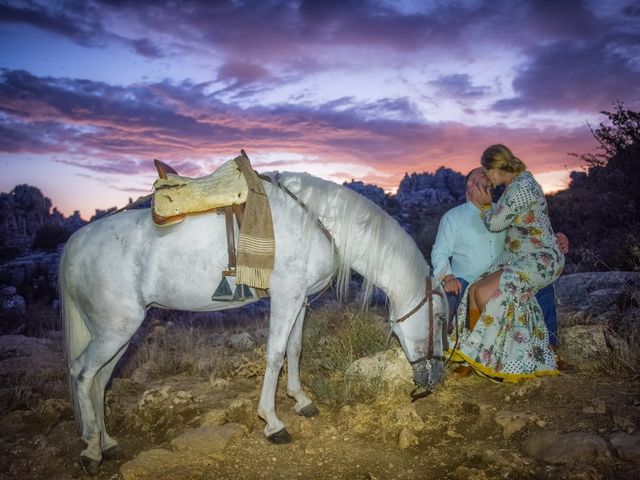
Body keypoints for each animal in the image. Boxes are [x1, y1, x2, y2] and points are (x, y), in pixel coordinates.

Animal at [62, 172, 448, 472]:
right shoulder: (285, 297)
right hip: (116, 329)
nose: (436, 378)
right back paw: (91, 451)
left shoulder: (298, 300)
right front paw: (273, 423)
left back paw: (107, 443)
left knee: (100, 380)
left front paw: (301, 400)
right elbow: (275, 355)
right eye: (441, 317)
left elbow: (294, 349)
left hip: (117, 333)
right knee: (82, 373)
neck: (317, 223)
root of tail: (76, 242)